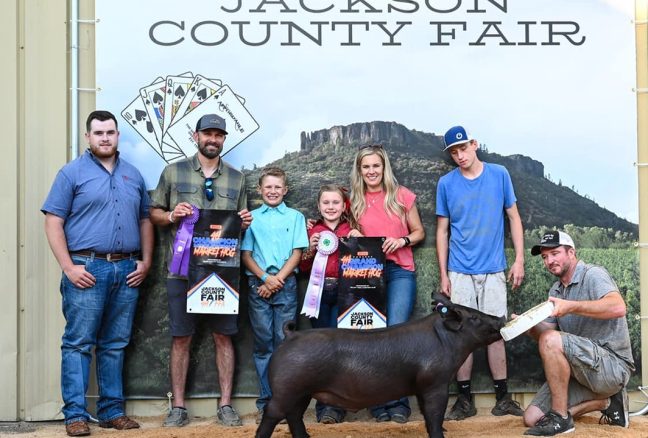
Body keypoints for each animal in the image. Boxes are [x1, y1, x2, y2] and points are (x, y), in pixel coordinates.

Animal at [256, 294, 504, 438]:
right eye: (474, 317)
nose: (499, 318)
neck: (446, 341)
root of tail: (290, 336)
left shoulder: (421, 387)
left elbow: (426, 414)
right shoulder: (435, 383)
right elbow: (434, 415)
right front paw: (439, 434)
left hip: (302, 392)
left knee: (294, 415)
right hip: (287, 388)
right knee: (272, 413)